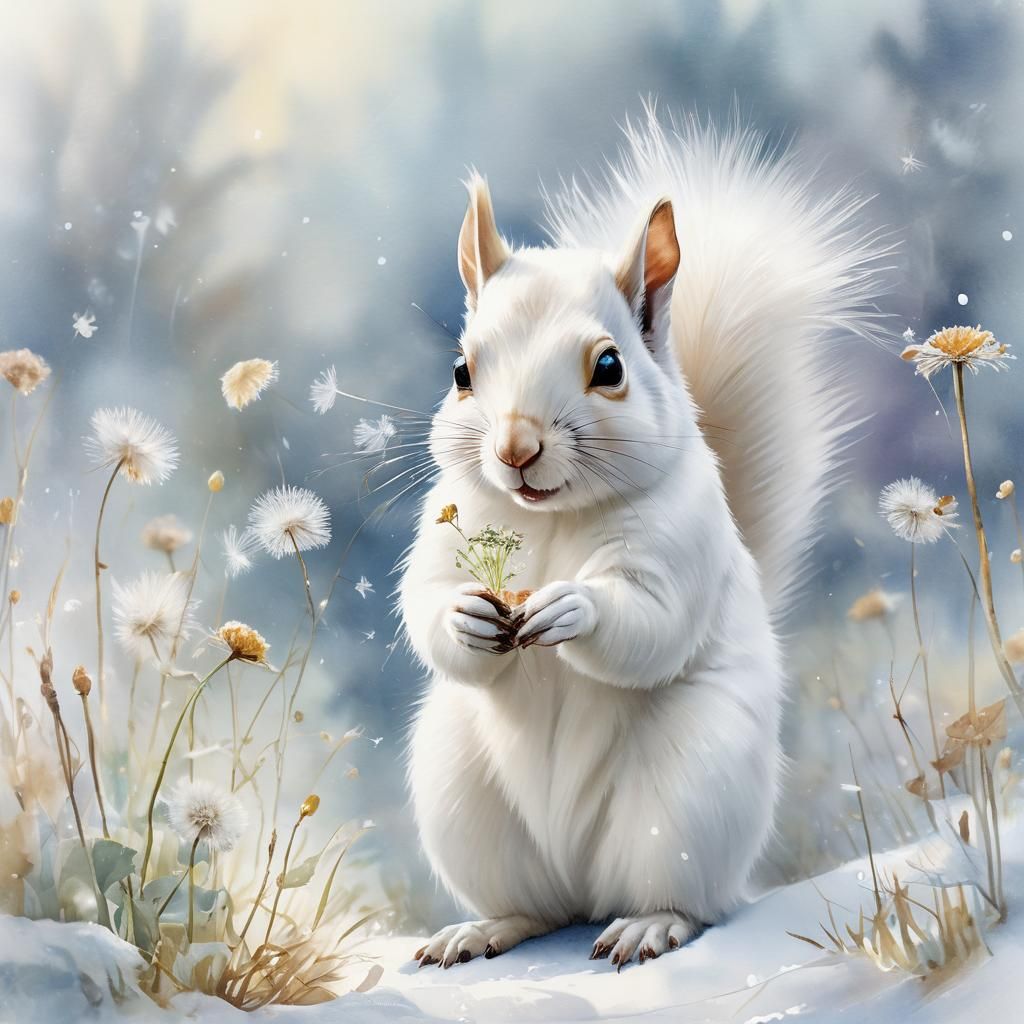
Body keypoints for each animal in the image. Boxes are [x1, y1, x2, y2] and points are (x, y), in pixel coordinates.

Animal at [400, 108, 887, 969]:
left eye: (609, 366)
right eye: (461, 372)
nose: (515, 449)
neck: (553, 518)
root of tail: (582, 882)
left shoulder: (684, 535)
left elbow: (652, 622)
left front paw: (573, 609)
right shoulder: (442, 524)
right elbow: (424, 602)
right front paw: (465, 615)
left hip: (689, 790)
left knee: (685, 899)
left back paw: (649, 925)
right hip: (461, 791)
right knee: (534, 908)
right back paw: (484, 928)